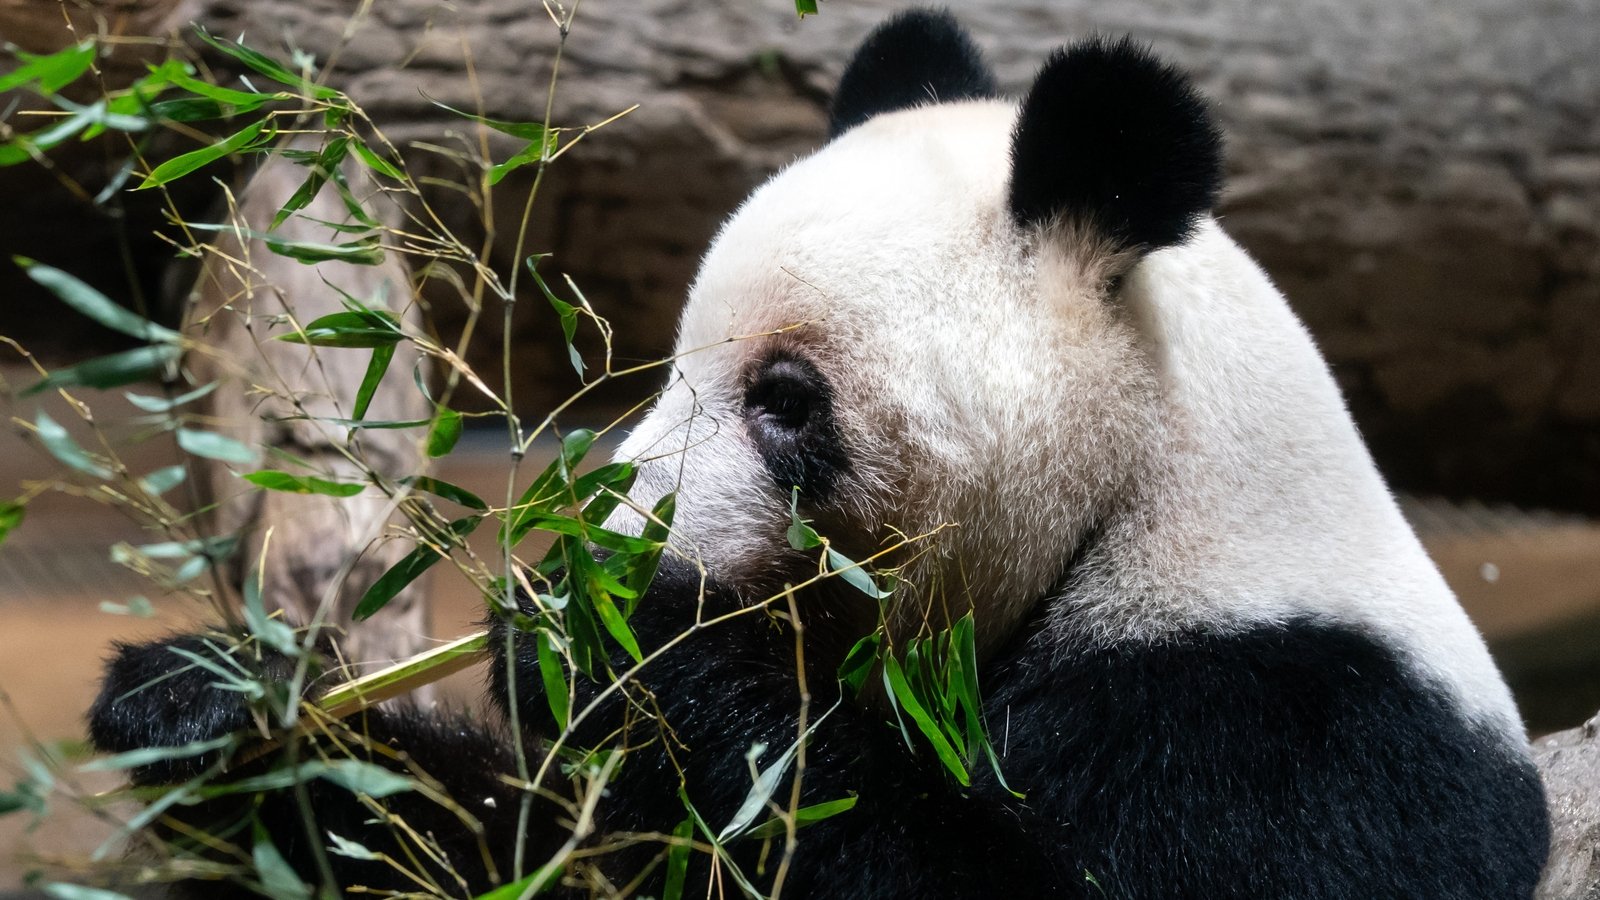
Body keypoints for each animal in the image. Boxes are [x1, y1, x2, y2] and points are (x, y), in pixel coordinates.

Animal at [89, 9, 1550, 899]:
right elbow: (531, 850)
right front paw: (202, 707)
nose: (600, 540)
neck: (1139, 501)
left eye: (785, 400)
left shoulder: (1283, 735)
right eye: (669, 359)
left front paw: (620, 640)